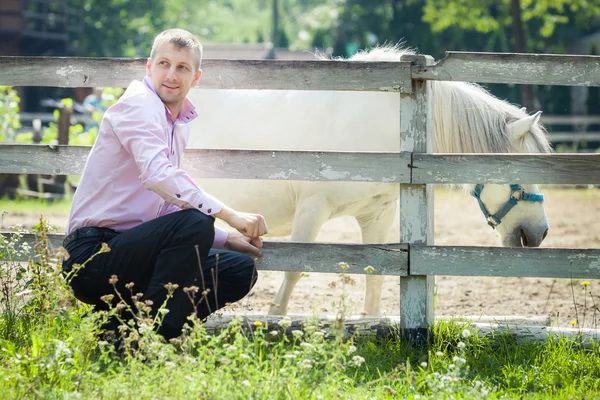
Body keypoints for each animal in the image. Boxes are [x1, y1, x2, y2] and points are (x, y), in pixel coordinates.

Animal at [185, 46, 552, 316]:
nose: (540, 232)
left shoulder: (377, 216)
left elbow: (375, 278)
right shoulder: (311, 210)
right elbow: (292, 271)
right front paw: (274, 322)